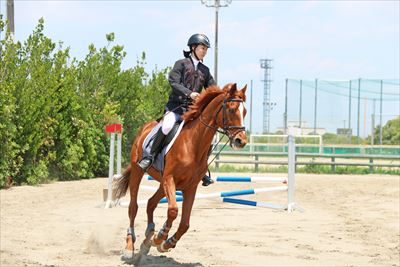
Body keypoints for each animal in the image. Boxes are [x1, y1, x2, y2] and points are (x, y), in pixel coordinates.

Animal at [115, 82, 247, 262]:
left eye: (245, 112)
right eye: (232, 109)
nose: (241, 141)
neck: (192, 144)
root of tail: (145, 128)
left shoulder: (190, 187)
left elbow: (185, 223)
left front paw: (165, 243)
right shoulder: (170, 179)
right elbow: (173, 210)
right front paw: (160, 237)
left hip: (162, 184)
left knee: (150, 203)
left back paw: (148, 238)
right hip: (139, 172)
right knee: (133, 207)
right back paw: (130, 247)